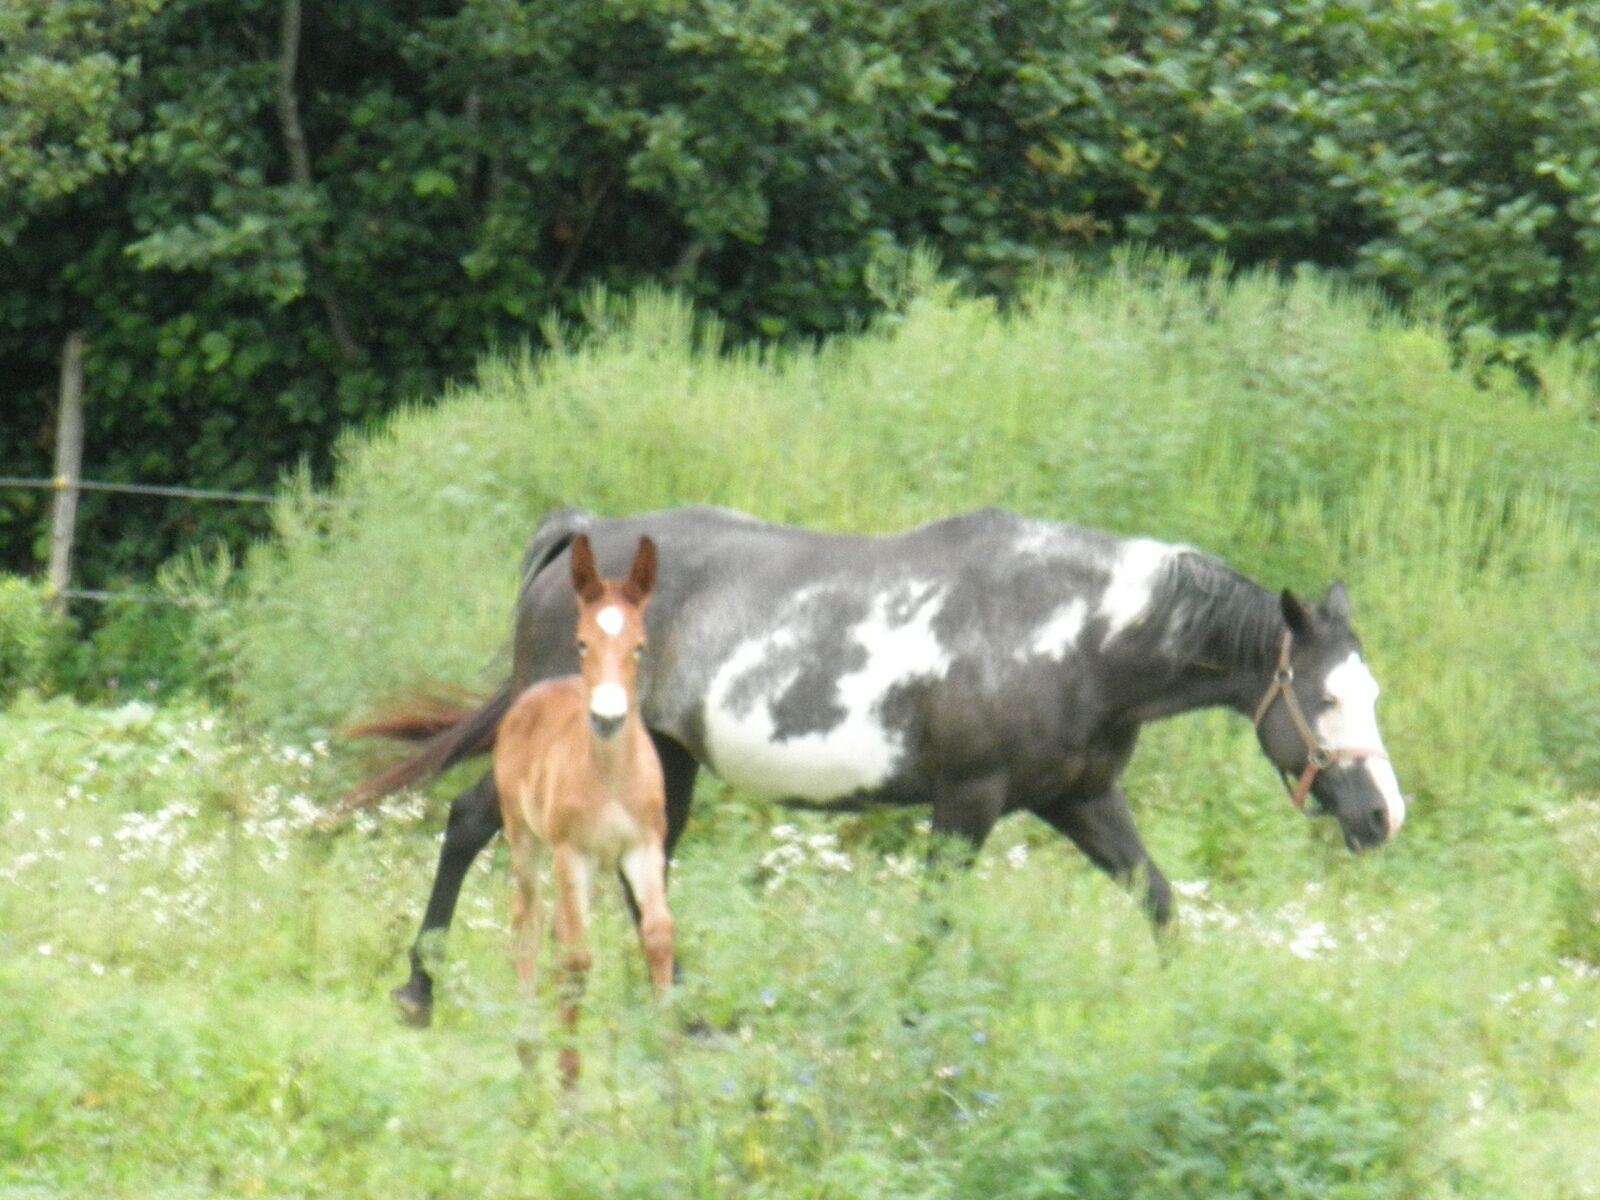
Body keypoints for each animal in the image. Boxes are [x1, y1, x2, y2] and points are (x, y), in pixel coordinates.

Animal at [348, 505, 1405, 1028]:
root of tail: (575, 541)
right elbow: (934, 928)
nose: (1382, 817)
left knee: (642, 874)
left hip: (667, 764)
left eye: (1372, 690)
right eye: (1326, 699)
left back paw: (680, 1012)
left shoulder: (1080, 799)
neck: (1074, 634)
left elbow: (1157, 898)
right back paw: (419, 990)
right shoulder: (966, 805)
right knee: (470, 823)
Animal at [492, 533, 670, 1085]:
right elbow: (577, 957)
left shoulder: (644, 846)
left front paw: (676, 1086)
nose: (608, 717)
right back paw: (530, 1050)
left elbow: (657, 936)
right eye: (581, 642)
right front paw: (569, 1082)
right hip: (524, 838)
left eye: (641, 645)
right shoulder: (573, 853)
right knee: (527, 922)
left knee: (550, 928)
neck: (611, 777)